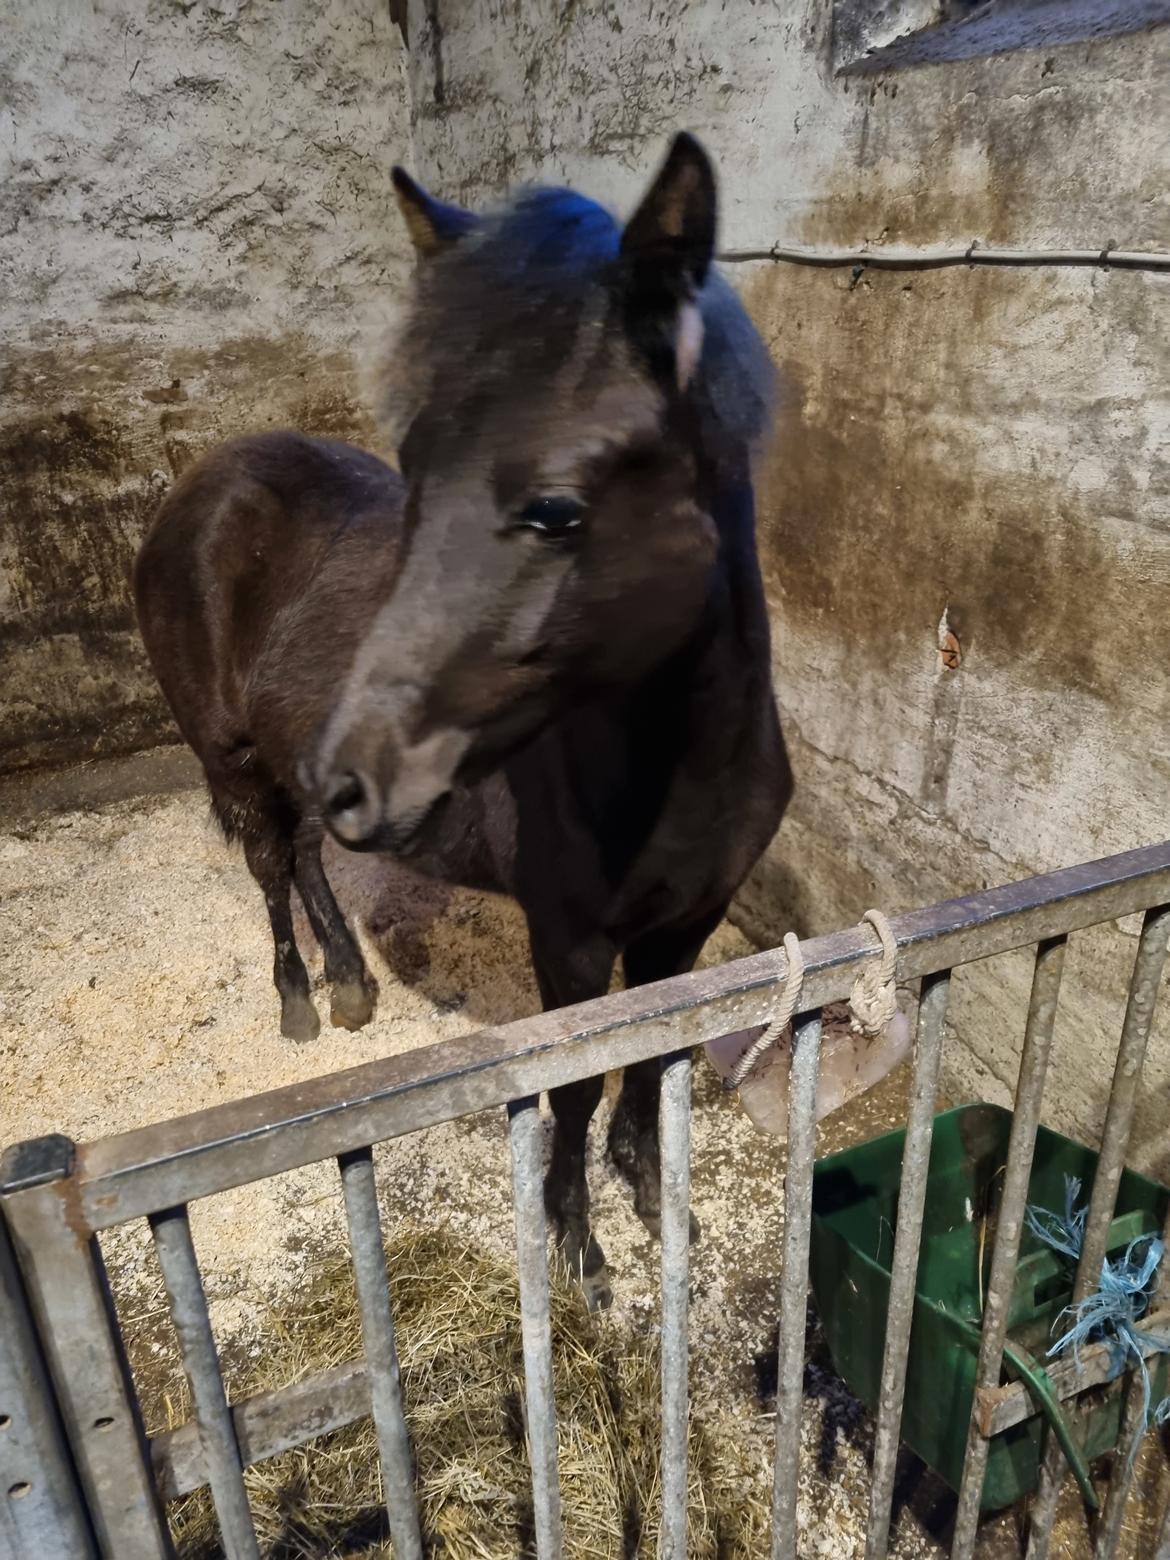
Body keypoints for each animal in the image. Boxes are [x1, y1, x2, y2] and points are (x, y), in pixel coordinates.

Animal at [134, 133, 791, 1308]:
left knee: (308, 852)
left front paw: (652, 1189)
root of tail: (197, 485)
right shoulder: (569, 943)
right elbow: (574, 1088)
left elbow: (651, 1057)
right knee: (270, 864)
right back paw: (302, 1001)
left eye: (557, 510)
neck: (678, 773)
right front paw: (579, 1245)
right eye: (415, 472)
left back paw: (352, 982)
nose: (366, 769)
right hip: (236, 757)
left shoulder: (687, 925)